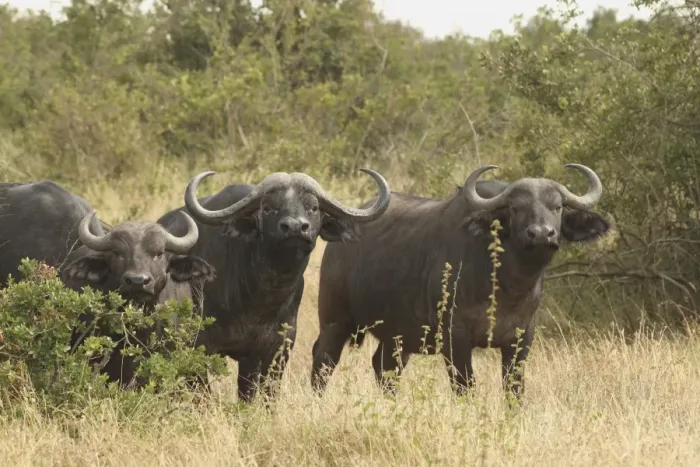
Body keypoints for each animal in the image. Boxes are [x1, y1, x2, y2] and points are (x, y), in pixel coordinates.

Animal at [157, 168, 391, 402]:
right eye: (268, 207)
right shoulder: (197, 346)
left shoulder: (274, 350)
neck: (258, 298)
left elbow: (261, 394)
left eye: (313, 207)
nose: (295, 227)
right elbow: (202, 394)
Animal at [311, 164, 611, 399]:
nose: (541, 234)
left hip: (397, 336)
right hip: (335, 321)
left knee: (384, 368)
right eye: (516, 208)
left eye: (557, 207)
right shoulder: (455, 338)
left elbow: (513, 390)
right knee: (323, 361)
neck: (506, 286)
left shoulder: (522, 338)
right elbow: (465, 388)